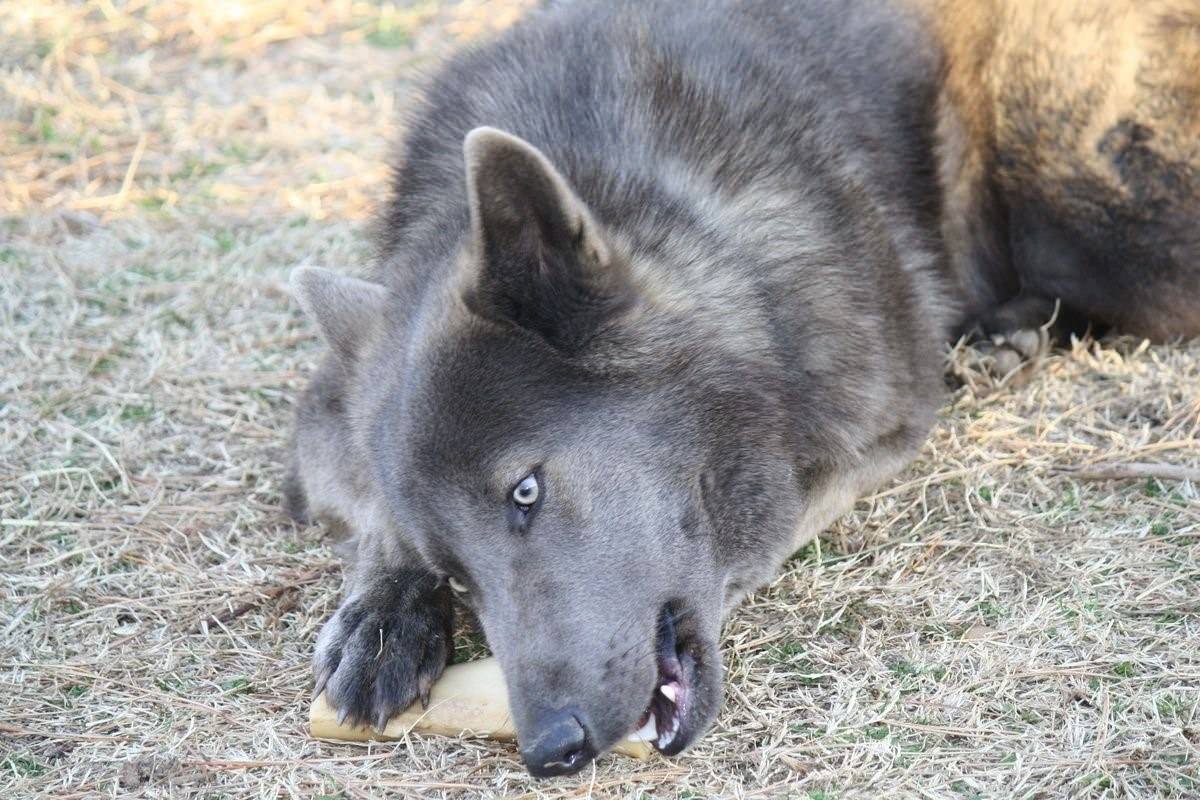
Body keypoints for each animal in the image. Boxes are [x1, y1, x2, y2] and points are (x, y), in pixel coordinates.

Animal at [283, 0, 1200, 777]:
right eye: (457, 572)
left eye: (526, 491)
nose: (549, 750)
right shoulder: (323, 416)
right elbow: (371, 515)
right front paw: (385, 614)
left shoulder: (877, 424)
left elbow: (769, 525)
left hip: (1086, 208)